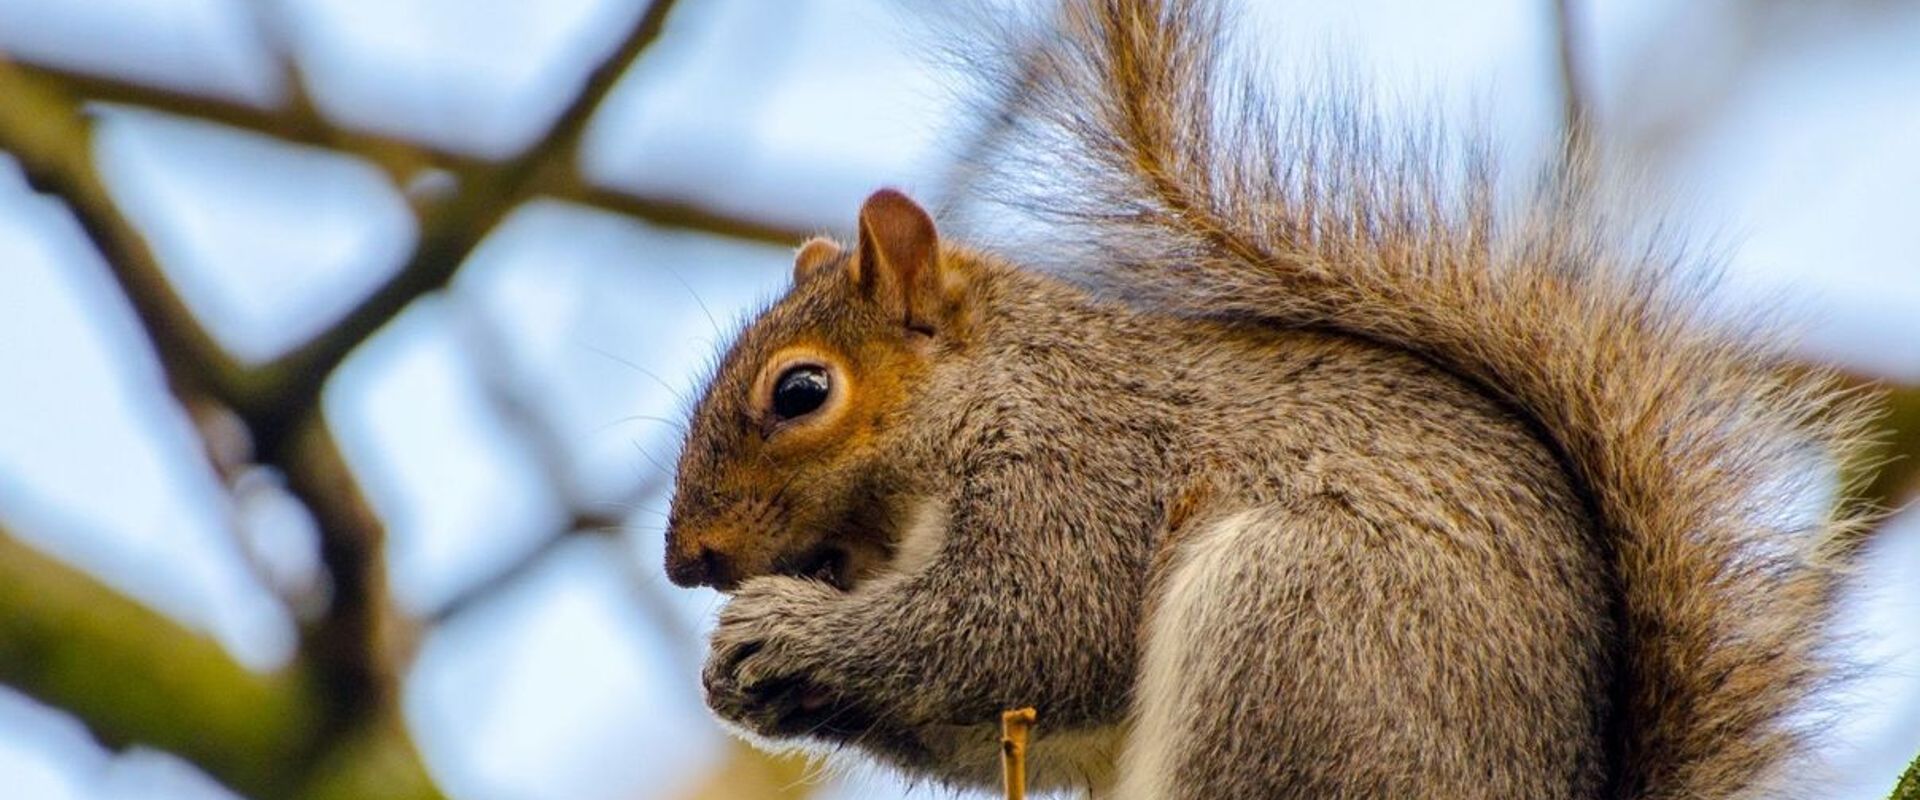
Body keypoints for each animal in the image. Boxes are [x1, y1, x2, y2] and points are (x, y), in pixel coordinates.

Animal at [661, 0, 1882, 797]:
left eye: (802, 390)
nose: (686, 561)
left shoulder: (1078, 469)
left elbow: (1021, 625)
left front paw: (787, 629)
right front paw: (742, 672)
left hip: (1294, 631)